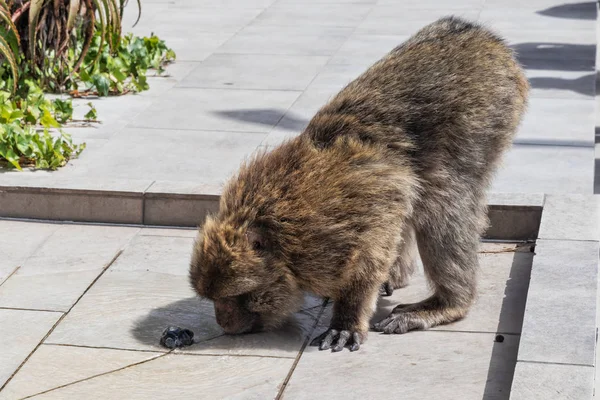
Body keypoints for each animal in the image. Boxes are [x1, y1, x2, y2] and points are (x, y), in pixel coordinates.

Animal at [189, 17, 528, 352]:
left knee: (442, 204)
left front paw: (347, 317)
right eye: (213, 298)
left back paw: (448, 304)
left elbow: (368, 256)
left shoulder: (338, 225)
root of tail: (475, 33)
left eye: (234, 296)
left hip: (486, 112)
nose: (225, 325)